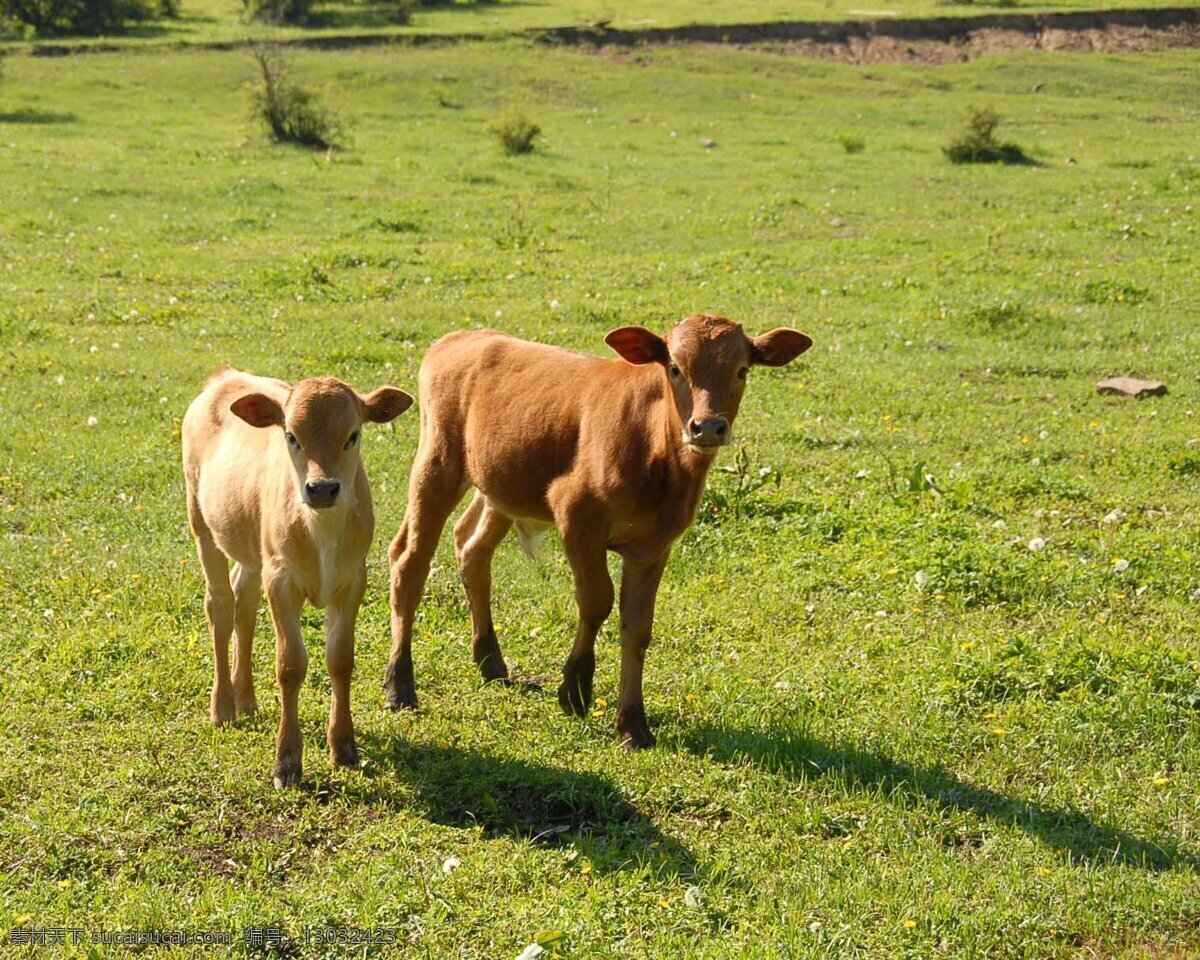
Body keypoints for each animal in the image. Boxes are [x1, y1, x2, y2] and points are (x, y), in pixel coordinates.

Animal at [182, 367, 412, 787]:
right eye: (291, 435)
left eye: (353, 434)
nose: (322, 488)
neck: (320, 529)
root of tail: (227, 375)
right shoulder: (282, 580)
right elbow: (290, 666)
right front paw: (287, 762)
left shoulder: (352, 580)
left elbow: (341, 659)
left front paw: (344, 748)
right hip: (202, 523)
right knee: (220, 606)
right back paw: (223, 706)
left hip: (253, 549)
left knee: (244, 604)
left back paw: (246, 698)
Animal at [388, 314, 811, 748]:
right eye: (675, 367)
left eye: (742, 370)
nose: (707, 428)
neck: (656, 454)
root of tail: (462, 337)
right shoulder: (576, 515)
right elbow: (595, 602)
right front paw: (575, 687)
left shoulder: (654, 546)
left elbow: (637, 627)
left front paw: (633, 722)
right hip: (436, 465)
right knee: (409, 562)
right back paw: (400, 684)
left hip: (502, 485)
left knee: (472, 549)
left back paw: (491, 662)